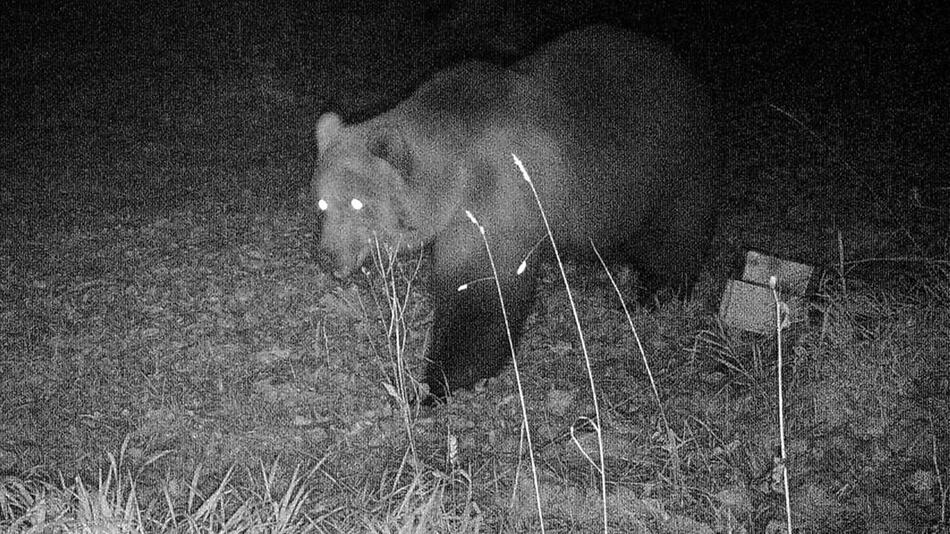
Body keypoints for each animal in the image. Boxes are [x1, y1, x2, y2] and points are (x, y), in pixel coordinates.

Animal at [312, 25, 720, 402]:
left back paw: (654, 293)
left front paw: (435, 384)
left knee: (675, 236)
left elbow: (481, 294)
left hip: (672, 167)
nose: (327, 256)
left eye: (357, 204)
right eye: (321, 203)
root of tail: (681, 66)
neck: (455, 176)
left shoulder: (499, 199)